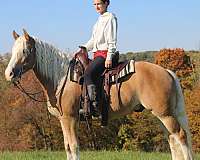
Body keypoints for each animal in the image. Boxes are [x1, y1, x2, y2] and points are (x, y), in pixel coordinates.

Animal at [4, 30, 192, 160]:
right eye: (13, 50)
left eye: (26, 50)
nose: (9, 74)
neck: (62, 77)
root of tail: (166, 71)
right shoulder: (63, 120)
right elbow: (67, 147)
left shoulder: (70, 119)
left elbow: (73, 146)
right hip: (161, 114)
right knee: (172, 140)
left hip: (165, 114)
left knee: (181, 136)